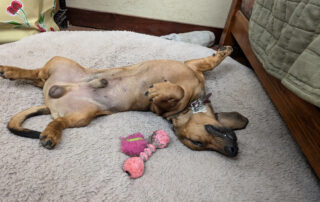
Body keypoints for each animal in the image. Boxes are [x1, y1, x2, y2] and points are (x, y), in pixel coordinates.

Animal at [0, 46, 248, 157]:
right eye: (197, 142)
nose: (233, 150)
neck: (192, 104)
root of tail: (52, 94)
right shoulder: (190, 68)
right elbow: (183, 84)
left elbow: (188, 80)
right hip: (59, 61)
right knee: (35, 74)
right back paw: (10, 70)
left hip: (81, 116)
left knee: (55, 116)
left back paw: (51, 133)